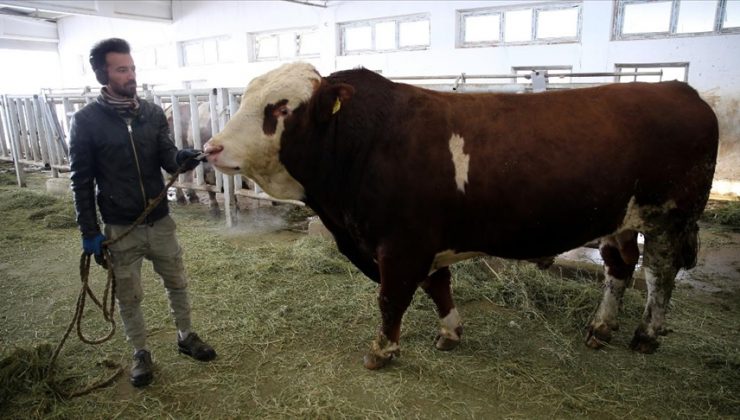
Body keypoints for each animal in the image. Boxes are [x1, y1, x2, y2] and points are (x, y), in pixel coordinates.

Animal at [202, 61, 716, 368]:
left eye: (280, 108)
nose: (211, 148)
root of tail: (680, 89)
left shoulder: (402, 243)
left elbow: (392, 298)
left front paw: (382, 350)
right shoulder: (422, 241)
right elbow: (437, 286)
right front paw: (449, 333)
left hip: (669, 216)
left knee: (660, 275)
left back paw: (646, 335)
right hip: (620, 219)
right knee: (619, 269)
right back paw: (600, 328)